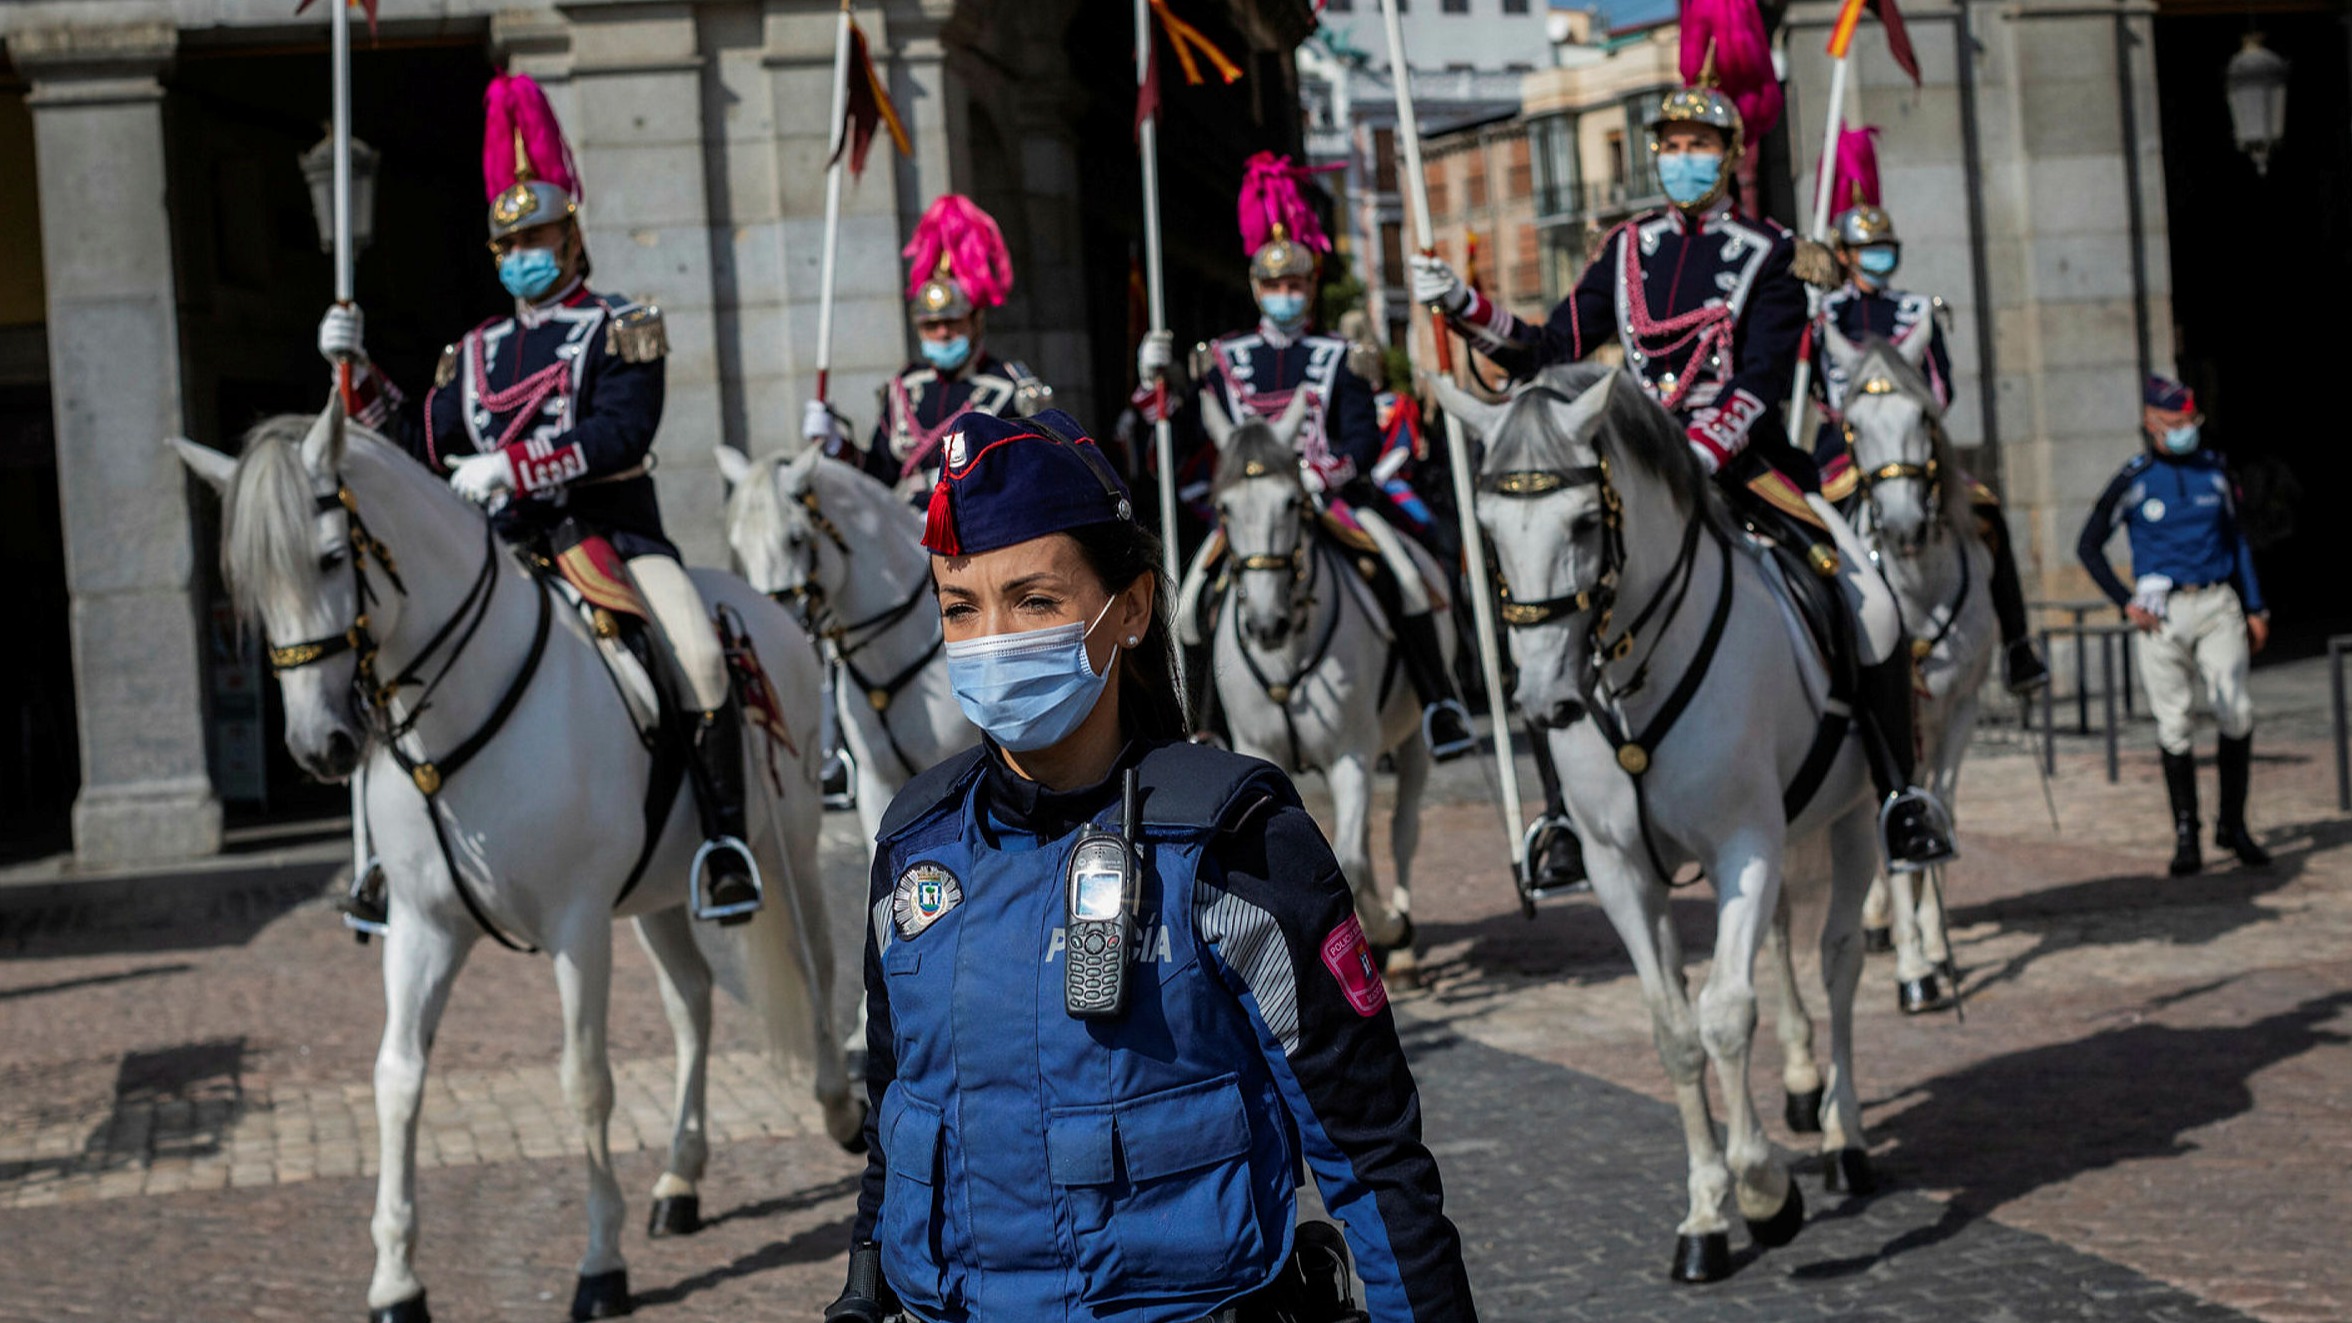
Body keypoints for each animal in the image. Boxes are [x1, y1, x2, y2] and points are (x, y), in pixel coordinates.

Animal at [174, 407, 860, 1318]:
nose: (320, 745)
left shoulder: (577, 925)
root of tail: (767, 610)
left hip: (790, 847)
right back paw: (680, 1178)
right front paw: (396, 1275)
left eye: (327, 558)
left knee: (817, 964)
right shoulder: (423, 927)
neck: (457, 715)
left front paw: (600, 1264)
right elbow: (396, 1078)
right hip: (656, 895)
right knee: (693, 1004)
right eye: (249, 582)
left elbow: (585, 1080)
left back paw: (841, 1110)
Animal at [1204, 390, 1439, 969]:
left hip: (1411, 742)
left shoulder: (1352, 754)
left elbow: (1349, 861)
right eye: (1224, 508)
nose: (1266, 625)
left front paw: (1389, 927)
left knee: (1402, 830)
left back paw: (1401, 943)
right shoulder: (1259, 752)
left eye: (1293, 502)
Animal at [1448, 367, 1891, 1280]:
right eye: (1489, 532)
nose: (1543, 696)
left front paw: (1764, 1191)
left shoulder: (1743, 846)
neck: (1631, 679)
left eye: (1585, 522)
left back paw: (1843, 1135)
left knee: (1838, 961)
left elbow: (1725, 1013)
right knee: (1787, 942)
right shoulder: (1621, 870)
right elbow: (1675, 1032)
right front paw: (1706, 1214)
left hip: (1857, 813)